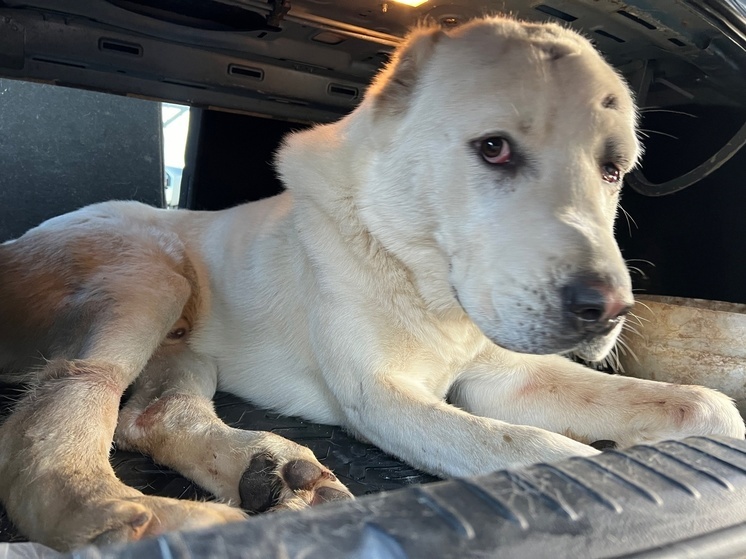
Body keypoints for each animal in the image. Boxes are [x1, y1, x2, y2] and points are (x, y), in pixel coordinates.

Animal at [0, 16, 740, 552]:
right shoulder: (384, 397)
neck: (423, 279)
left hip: (185, 343)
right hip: (149, 275)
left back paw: (271, 473)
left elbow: (706, 406)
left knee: (149, 414)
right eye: (494, 148)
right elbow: (536, 451)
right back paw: (146, 519)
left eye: (614, 168)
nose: (607, 309)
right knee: (68, 403)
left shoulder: (508, 377)